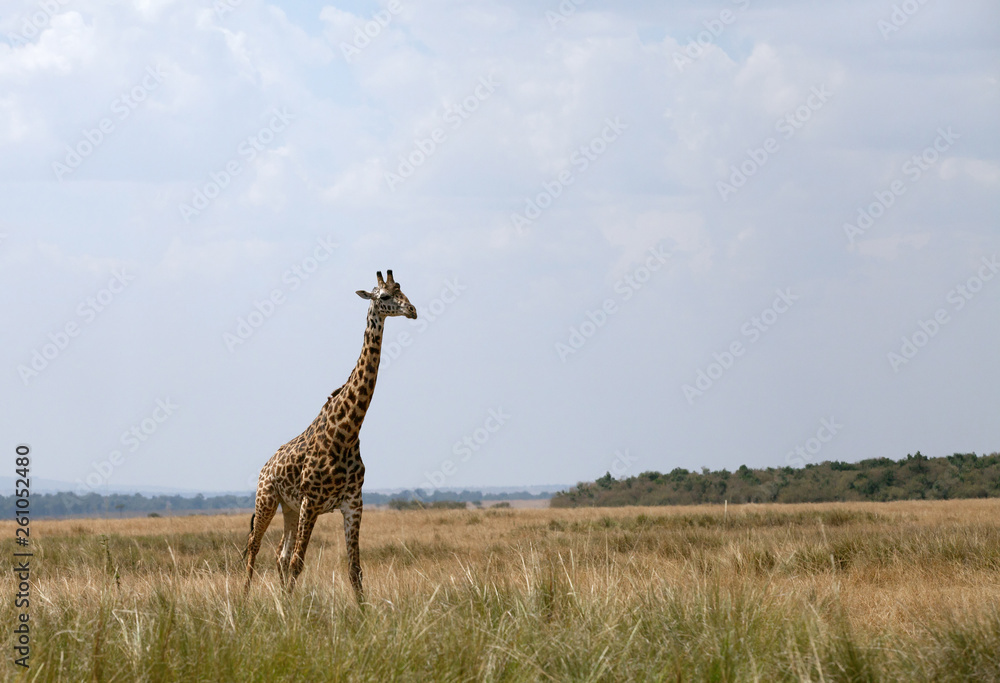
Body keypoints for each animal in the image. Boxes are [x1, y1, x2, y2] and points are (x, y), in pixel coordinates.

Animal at [243, 270, 417, 598]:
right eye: (385, 296)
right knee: (255, 549)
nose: (412, 310)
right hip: (267, 499)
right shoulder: (311, 501)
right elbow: (299, 562)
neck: (346, 432)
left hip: (289, 508)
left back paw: (280, 599)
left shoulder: (352, 503)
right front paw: (293, 611)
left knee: (279, 554)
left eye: (405, 291)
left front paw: (363, 610)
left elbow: (355, 569)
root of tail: (265, 466)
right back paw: (242, 602)